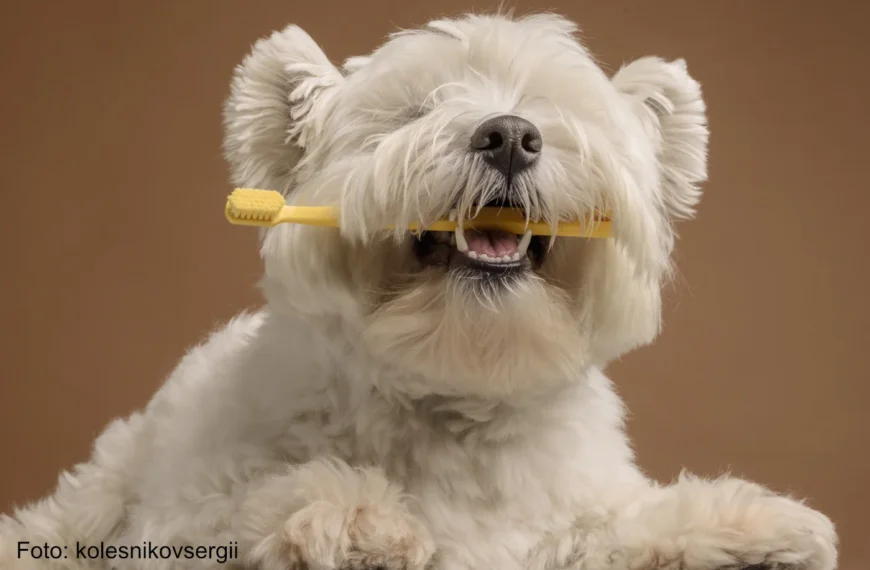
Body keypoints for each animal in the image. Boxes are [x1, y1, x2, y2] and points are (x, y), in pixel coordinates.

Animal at [3, 12, 840, 568]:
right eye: (414, 111)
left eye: (563, 116)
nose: (510, 135)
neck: (453, 396)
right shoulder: (184, 515)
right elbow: (252, 501)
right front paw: (354, 518)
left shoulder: (567, 516)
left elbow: (617, 527)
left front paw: (750, 530)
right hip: (99, 490)